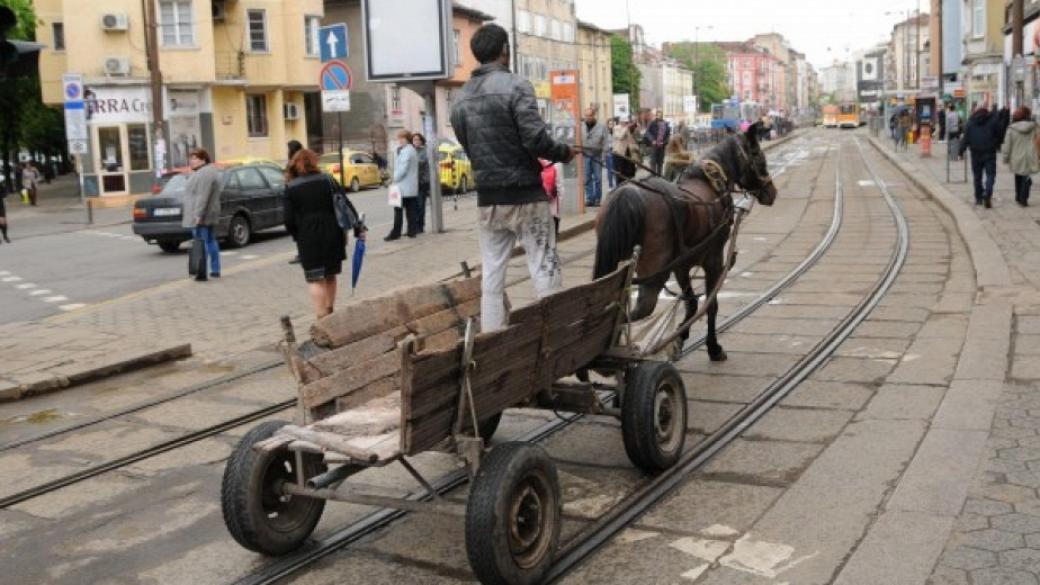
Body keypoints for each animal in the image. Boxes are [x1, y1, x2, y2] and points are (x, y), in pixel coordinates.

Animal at [599, 121, 777, 360]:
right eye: (758, 157)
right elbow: (710, 304)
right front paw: (713, 347)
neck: (711, 183)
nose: (772, 192)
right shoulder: (713, 261)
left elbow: (691, 303)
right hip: (654, 273)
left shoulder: (681, 266)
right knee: (636, 311)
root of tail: (626, 194)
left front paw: (680, 337)